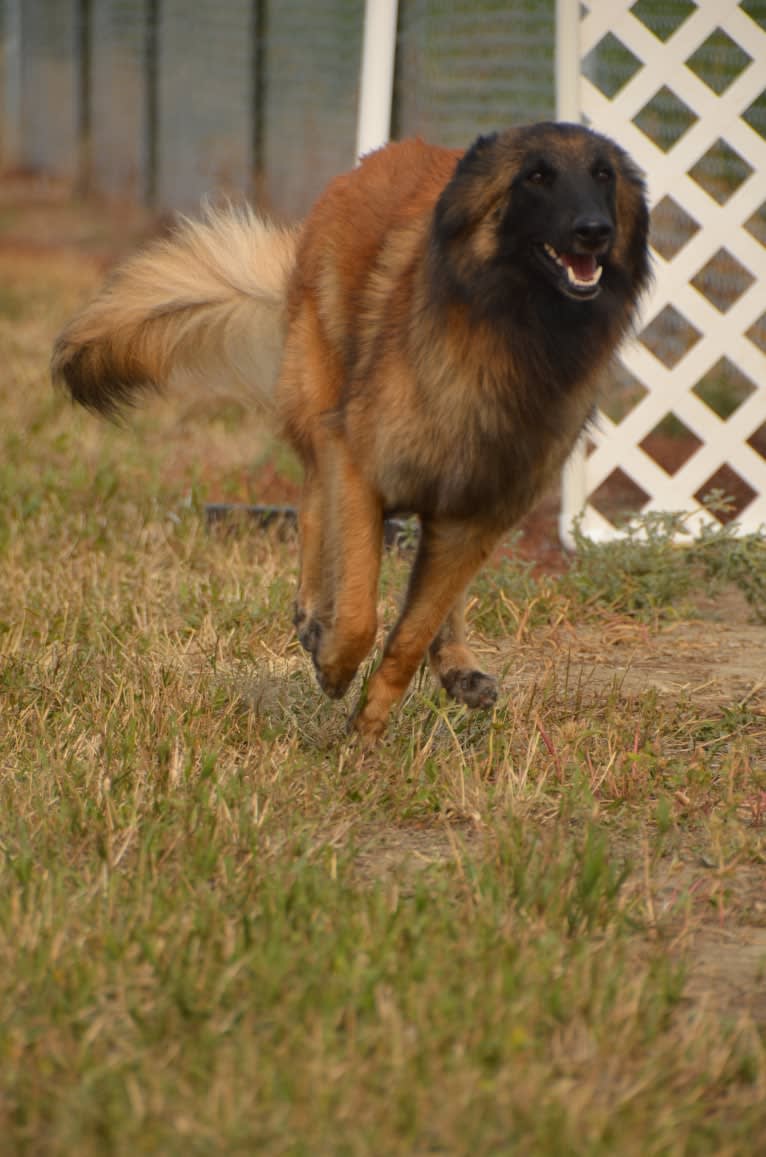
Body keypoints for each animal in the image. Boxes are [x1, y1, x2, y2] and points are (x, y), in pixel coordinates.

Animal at [54, 124, 652, 740]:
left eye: (603, 176)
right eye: (536, 176)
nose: (595, 231)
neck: (513, 335)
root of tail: (372, 162)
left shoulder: (479, 514)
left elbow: (411, 634)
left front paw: (368, 729)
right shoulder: (363, 470)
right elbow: (362, 610)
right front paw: (335, 665)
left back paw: (455, 663)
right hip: (322, 404)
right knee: (315, 503)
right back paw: (313, 616)